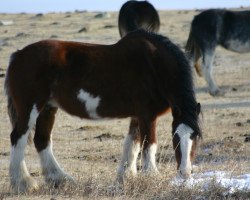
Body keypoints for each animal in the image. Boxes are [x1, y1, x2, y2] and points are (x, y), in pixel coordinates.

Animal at [5, 29, 201, 192]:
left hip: (48, 107)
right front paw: (152, 176)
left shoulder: (137, 115)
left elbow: (132, 143)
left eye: (196, 137)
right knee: (18, 137)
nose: (185, 173)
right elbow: (149, 145)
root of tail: (18, 55)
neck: (154, 65)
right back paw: (23, 183)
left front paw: (126, 176)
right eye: (175, 137)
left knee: (42, 140)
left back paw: (60, 179)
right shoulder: (147, 115)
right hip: (30, 107)